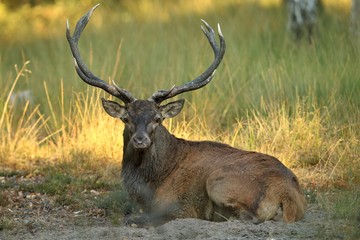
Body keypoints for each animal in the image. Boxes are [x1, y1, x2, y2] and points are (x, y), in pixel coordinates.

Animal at [67, 3, 306, 225]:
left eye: (158, 119)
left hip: (218, 181)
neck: (150, 186)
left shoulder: (180, 206)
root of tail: (288, 196)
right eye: (126, 119)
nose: (140, 140)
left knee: (248, 216)